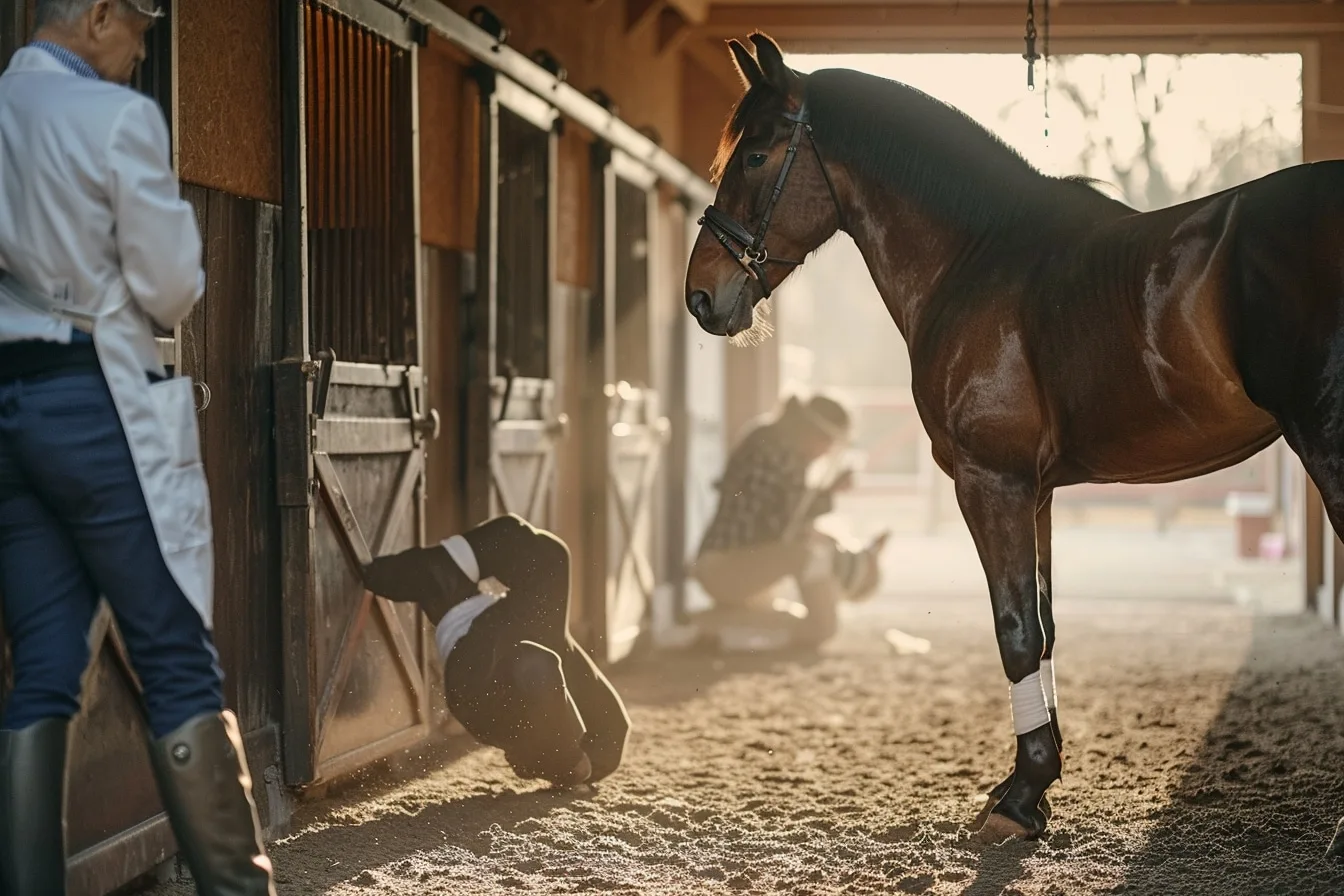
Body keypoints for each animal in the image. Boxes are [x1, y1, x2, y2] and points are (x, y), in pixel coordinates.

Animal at [683, 31, 1344, 844]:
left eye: (754, 155)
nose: (702, 296)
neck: (977, 255)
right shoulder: (1038, 492)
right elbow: (1046, 626)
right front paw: (1035, 783)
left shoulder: (990, 479)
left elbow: (1016, 631)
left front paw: (1022, 796)